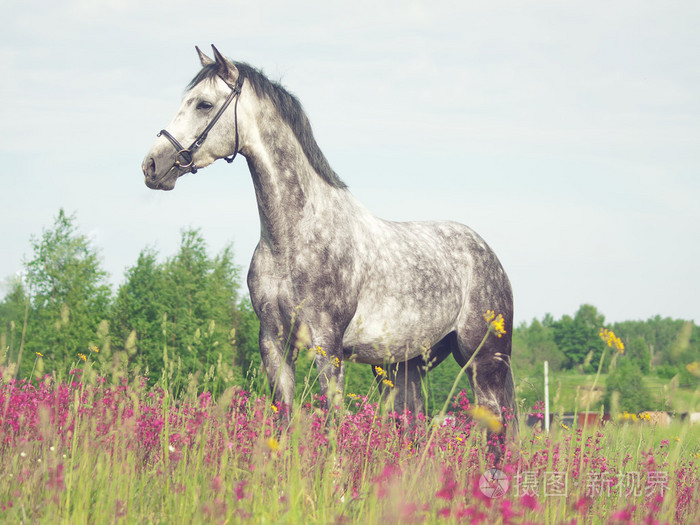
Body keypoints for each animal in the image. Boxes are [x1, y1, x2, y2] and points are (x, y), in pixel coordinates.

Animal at [142, 45, 517, 441]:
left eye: (204, 104)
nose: (152, 165)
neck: (293, 241)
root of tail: (488, 254)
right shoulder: (273, 343)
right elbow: (284, 419)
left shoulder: (327, 346)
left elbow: (334, 421)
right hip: (406, 367)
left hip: (483, 362)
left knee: (497, 430)